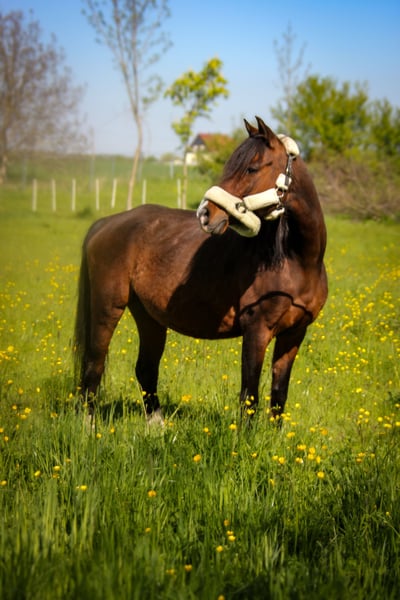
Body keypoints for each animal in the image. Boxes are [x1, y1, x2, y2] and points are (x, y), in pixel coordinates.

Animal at [74, 117, 328, 422]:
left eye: (252, 168)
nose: (205, 214)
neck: (297, 261)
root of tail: (106, 223)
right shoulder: (257, 330)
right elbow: (249, 396)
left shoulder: (294, 334)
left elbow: (279, 395)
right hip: (107, 309)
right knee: (94, 364)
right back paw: (88, 426)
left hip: (149, 317)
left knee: (145, 368)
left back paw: (157, 425)